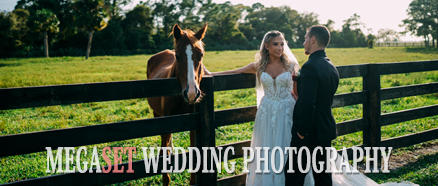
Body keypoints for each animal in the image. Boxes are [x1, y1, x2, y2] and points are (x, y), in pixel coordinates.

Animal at [146, 23, 208, 186]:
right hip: (157, 114)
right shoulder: (165, 122)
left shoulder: (194, 124)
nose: (192, 93)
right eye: (178, 56)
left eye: (201, 55)